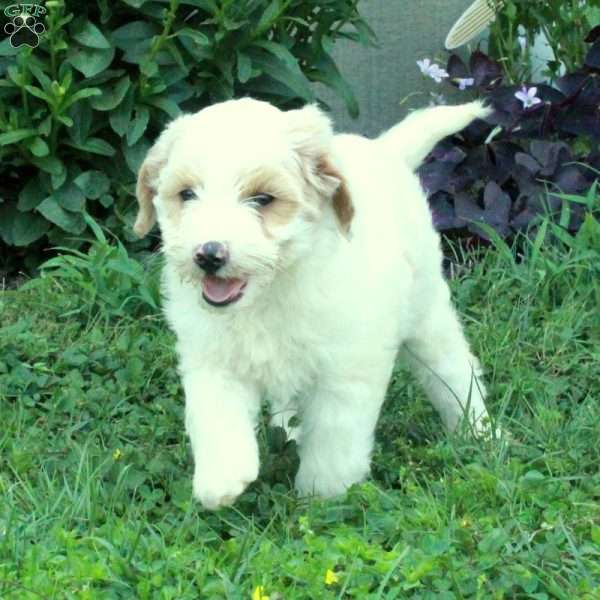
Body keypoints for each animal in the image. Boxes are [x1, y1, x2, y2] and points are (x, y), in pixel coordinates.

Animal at [135, 98, 492, 510]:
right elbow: (216, 414)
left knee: (454, 371)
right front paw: (221, 478)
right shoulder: (212, 359)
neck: (271, 292)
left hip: (426, 313)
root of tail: (384, 150)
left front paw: (322, 496)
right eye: (187, 194)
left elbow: (334, 436)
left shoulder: (346, 372)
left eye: (262, 199)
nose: (208, 255)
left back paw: (480, 431)